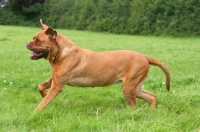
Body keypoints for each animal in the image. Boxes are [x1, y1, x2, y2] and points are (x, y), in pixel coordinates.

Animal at [25, 19, 170, 111]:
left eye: (38, 41)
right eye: (33, 38)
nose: (27, 43)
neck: (61, 53)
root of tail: (144, 56)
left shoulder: (57, 86)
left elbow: (42, 104)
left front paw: (34, 113)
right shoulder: (55, 79)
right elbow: (40, 86)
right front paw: (43, 93)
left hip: (128, 87)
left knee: (134, 106)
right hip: (136, 87)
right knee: (152, 97)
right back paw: (152, 110)